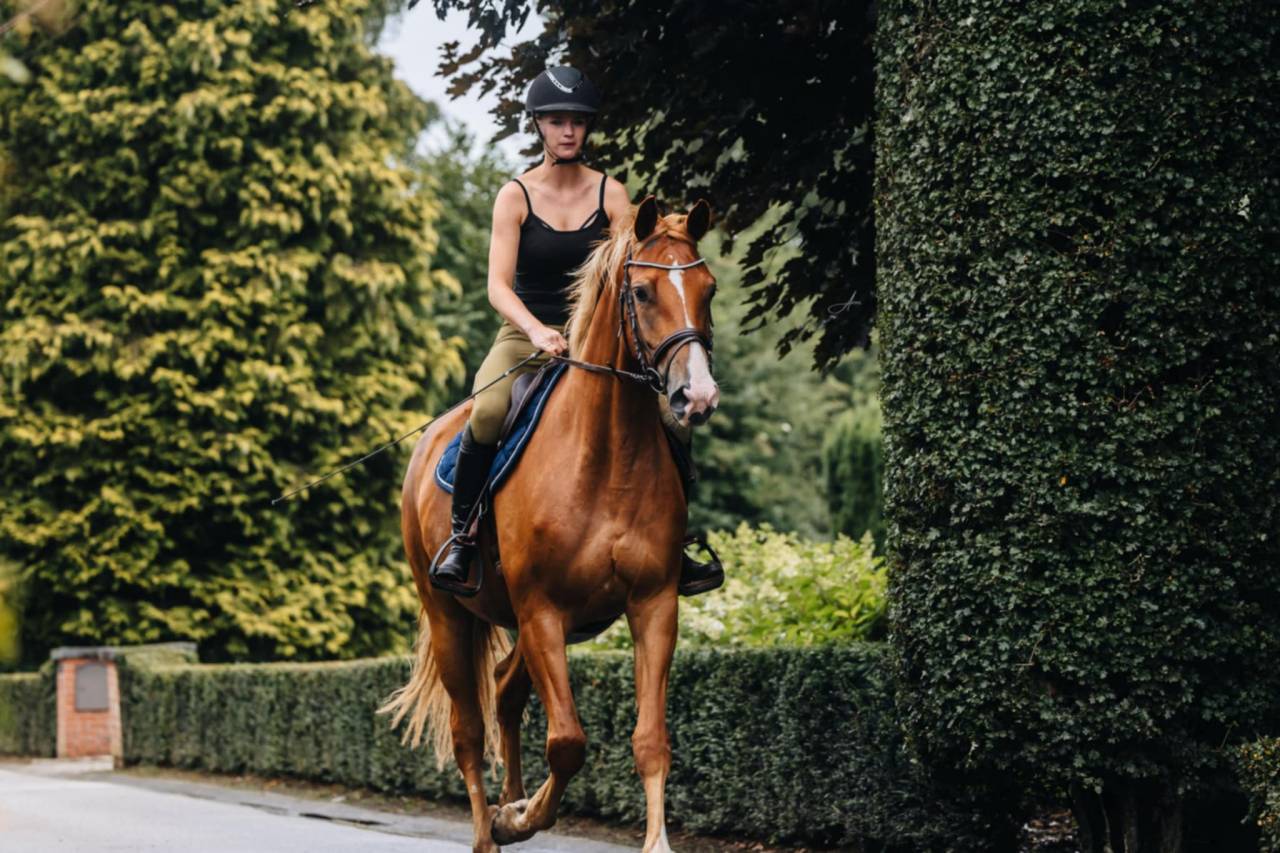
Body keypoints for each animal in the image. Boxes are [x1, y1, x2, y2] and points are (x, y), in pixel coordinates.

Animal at [380, 195, 720, 853]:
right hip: (451, 618)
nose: (696, 397)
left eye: (709, 289)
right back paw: (490, 827)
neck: (608, 455)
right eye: (643, 292)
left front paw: (654, 840)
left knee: (505, 690)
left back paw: (509, 800)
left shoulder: (653, 604)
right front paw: (519, 817)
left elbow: (650, 740)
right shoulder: (543, 612)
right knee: (468, 731)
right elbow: (567, 742)